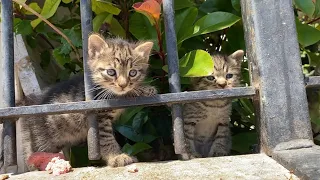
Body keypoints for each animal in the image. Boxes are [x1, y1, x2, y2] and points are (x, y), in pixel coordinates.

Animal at [21, 33, 156, 170]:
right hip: (39, 142)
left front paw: (143, 89)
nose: (123, 85)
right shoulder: (99, 116)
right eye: (111, 72)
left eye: (132, 73)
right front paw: (116, 157)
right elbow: (106, 139)